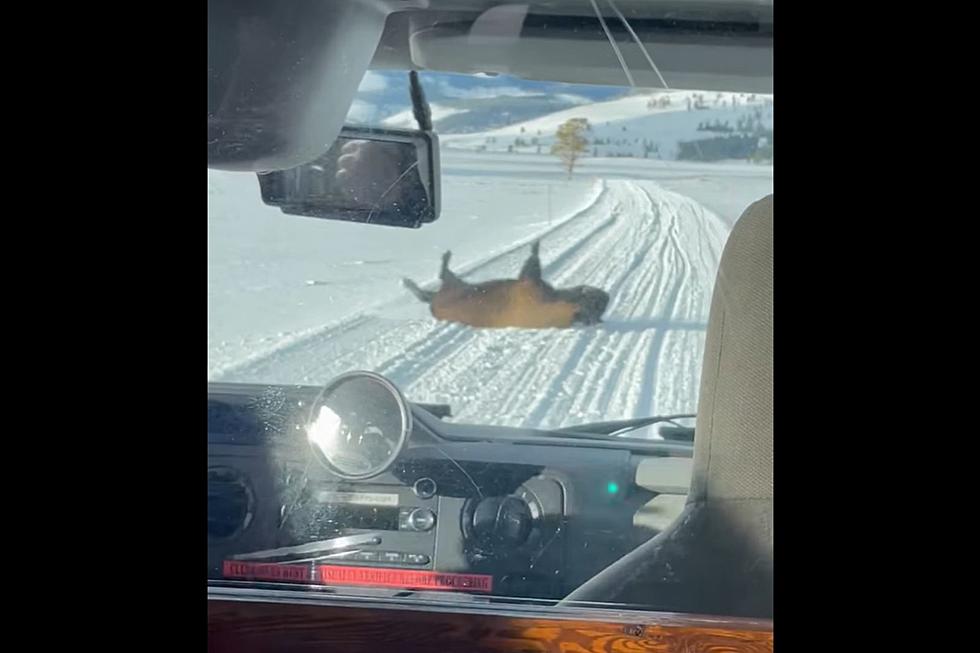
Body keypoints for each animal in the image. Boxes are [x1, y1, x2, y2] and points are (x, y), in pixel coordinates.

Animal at [402, 241, 608, 328]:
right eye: (596, 303)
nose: (606, 296)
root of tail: (433, 304)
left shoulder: (529, 281)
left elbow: (533, 261)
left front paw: (535, 245)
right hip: (455, 285)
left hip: (452, 285)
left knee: (441, 276)